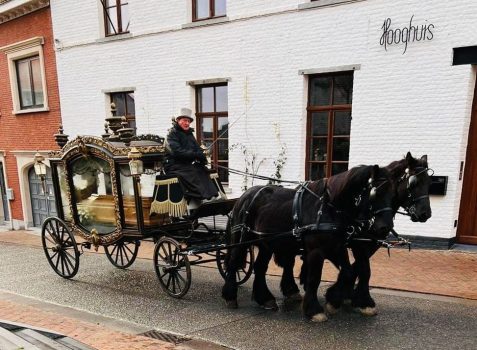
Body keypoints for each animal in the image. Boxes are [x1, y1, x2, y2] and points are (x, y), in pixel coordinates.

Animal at [221, 165, 396, 322]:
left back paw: (265, 299)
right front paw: (314, 310)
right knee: (233, 263)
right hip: (241, 239)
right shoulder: (317, 251)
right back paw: (230, 296)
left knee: (260, 267)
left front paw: (334, 302)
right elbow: (314, 278)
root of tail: (244, 196)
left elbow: (349, 272)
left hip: (266, 243)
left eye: (393, 193)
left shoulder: (338, 247)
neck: (329, 208)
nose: (385, 227)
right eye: (375, 192)